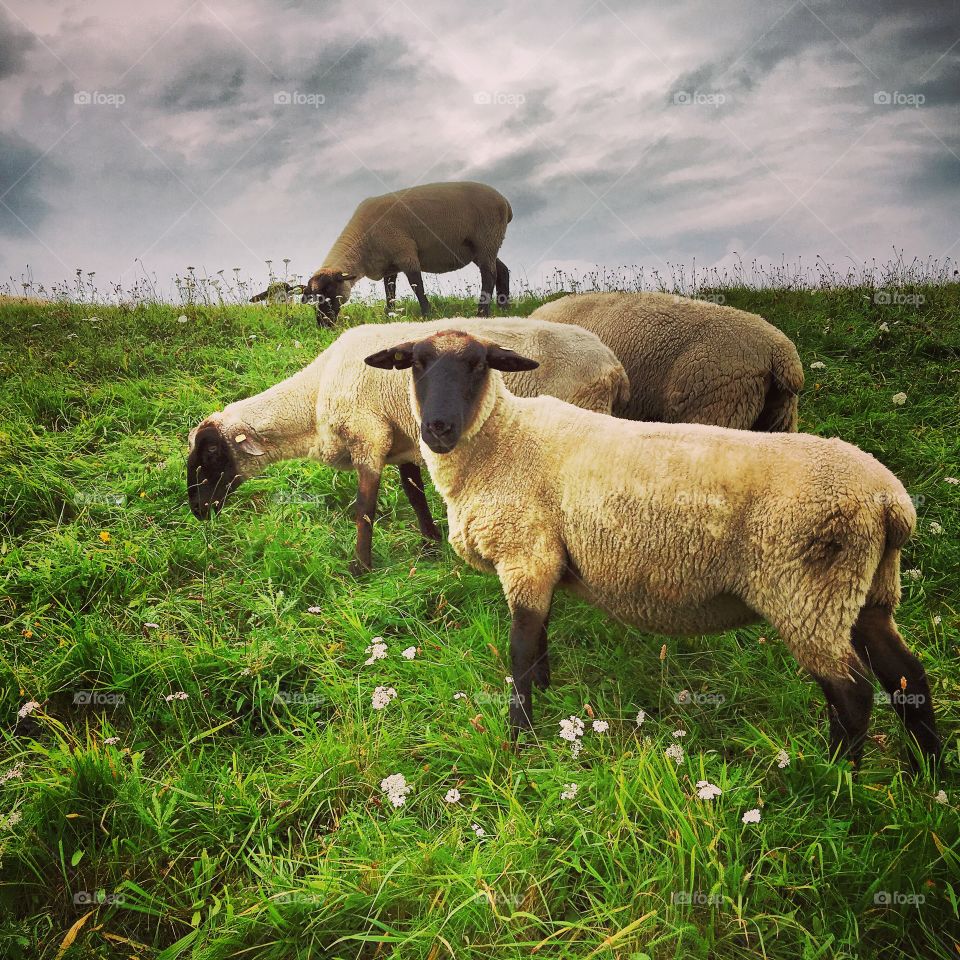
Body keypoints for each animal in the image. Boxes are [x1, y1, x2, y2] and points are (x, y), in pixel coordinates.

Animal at [186, 316, 632, 572]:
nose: (198, 511)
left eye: (212, 452)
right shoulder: (403, 440)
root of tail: (613, 364)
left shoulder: (368, 435)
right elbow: (414, 494)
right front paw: (431, 546)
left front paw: (360, 569)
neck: (312, 403)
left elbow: (364, 509)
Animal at [366, 334, 936, 768]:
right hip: (866, 591)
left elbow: (521, 651)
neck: (501, 440)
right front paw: (547, 697)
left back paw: (834, 781)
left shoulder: (525, 552)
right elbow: (539, 639)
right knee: (908, 677)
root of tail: (891, 502)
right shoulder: (539, 559)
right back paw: (926, 777)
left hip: (807, 594)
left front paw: (519, 735)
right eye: (416, 364)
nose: (437, 429)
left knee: (852, 694)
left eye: (479, 365)